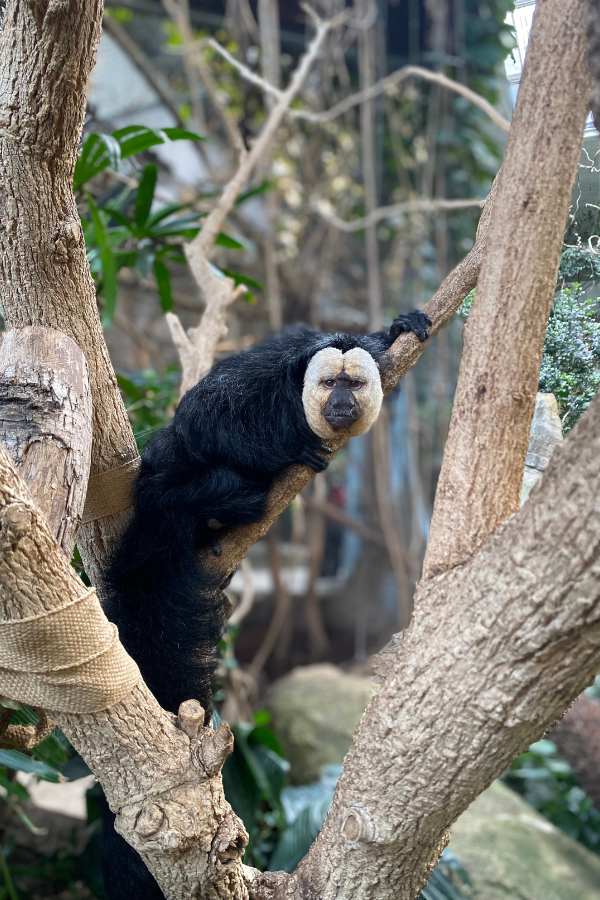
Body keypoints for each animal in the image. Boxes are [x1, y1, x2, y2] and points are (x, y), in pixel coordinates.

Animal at [100, 310, 431, 899]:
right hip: (159, 500)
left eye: (354, 384)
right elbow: (207, 419)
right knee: (181, 482)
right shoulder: (259, 383)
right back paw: (225, 501)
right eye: (329, 383)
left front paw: (399, 330)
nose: (340, 403)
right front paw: (287, 448)